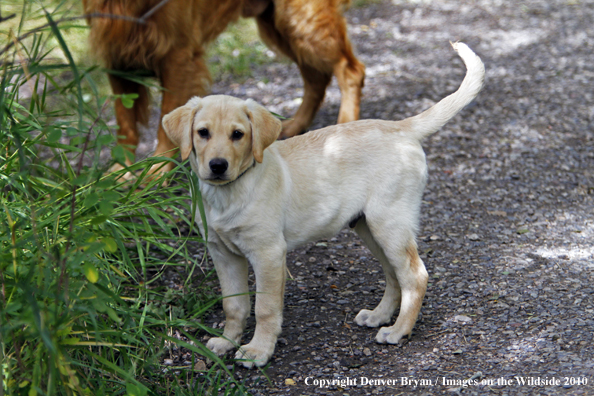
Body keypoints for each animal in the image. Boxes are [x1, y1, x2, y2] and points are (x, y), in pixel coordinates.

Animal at [82, 0, 360, 176]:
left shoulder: (177, 54)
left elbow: (165, 124)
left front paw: (156, 171)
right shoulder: (116, 54)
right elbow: (125, 123)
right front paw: (121, 171)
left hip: (303, 20)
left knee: (350, 69)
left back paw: (346, 123)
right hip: (281, 25)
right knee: (316, 77)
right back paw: (296, 124)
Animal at [162, 41, 480, 366]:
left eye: (238, 134)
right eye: (203, 132)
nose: (217, 165)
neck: (230, 191)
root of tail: (401, 127)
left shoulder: (268, 253)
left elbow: (264, 308)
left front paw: (258, 350)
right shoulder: (223, 254)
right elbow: (233, 305)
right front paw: (227, 341)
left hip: (390, 223)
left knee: (415, 277)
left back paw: (399, 330)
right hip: (369, 227)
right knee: (394, 275)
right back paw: (379, 316)